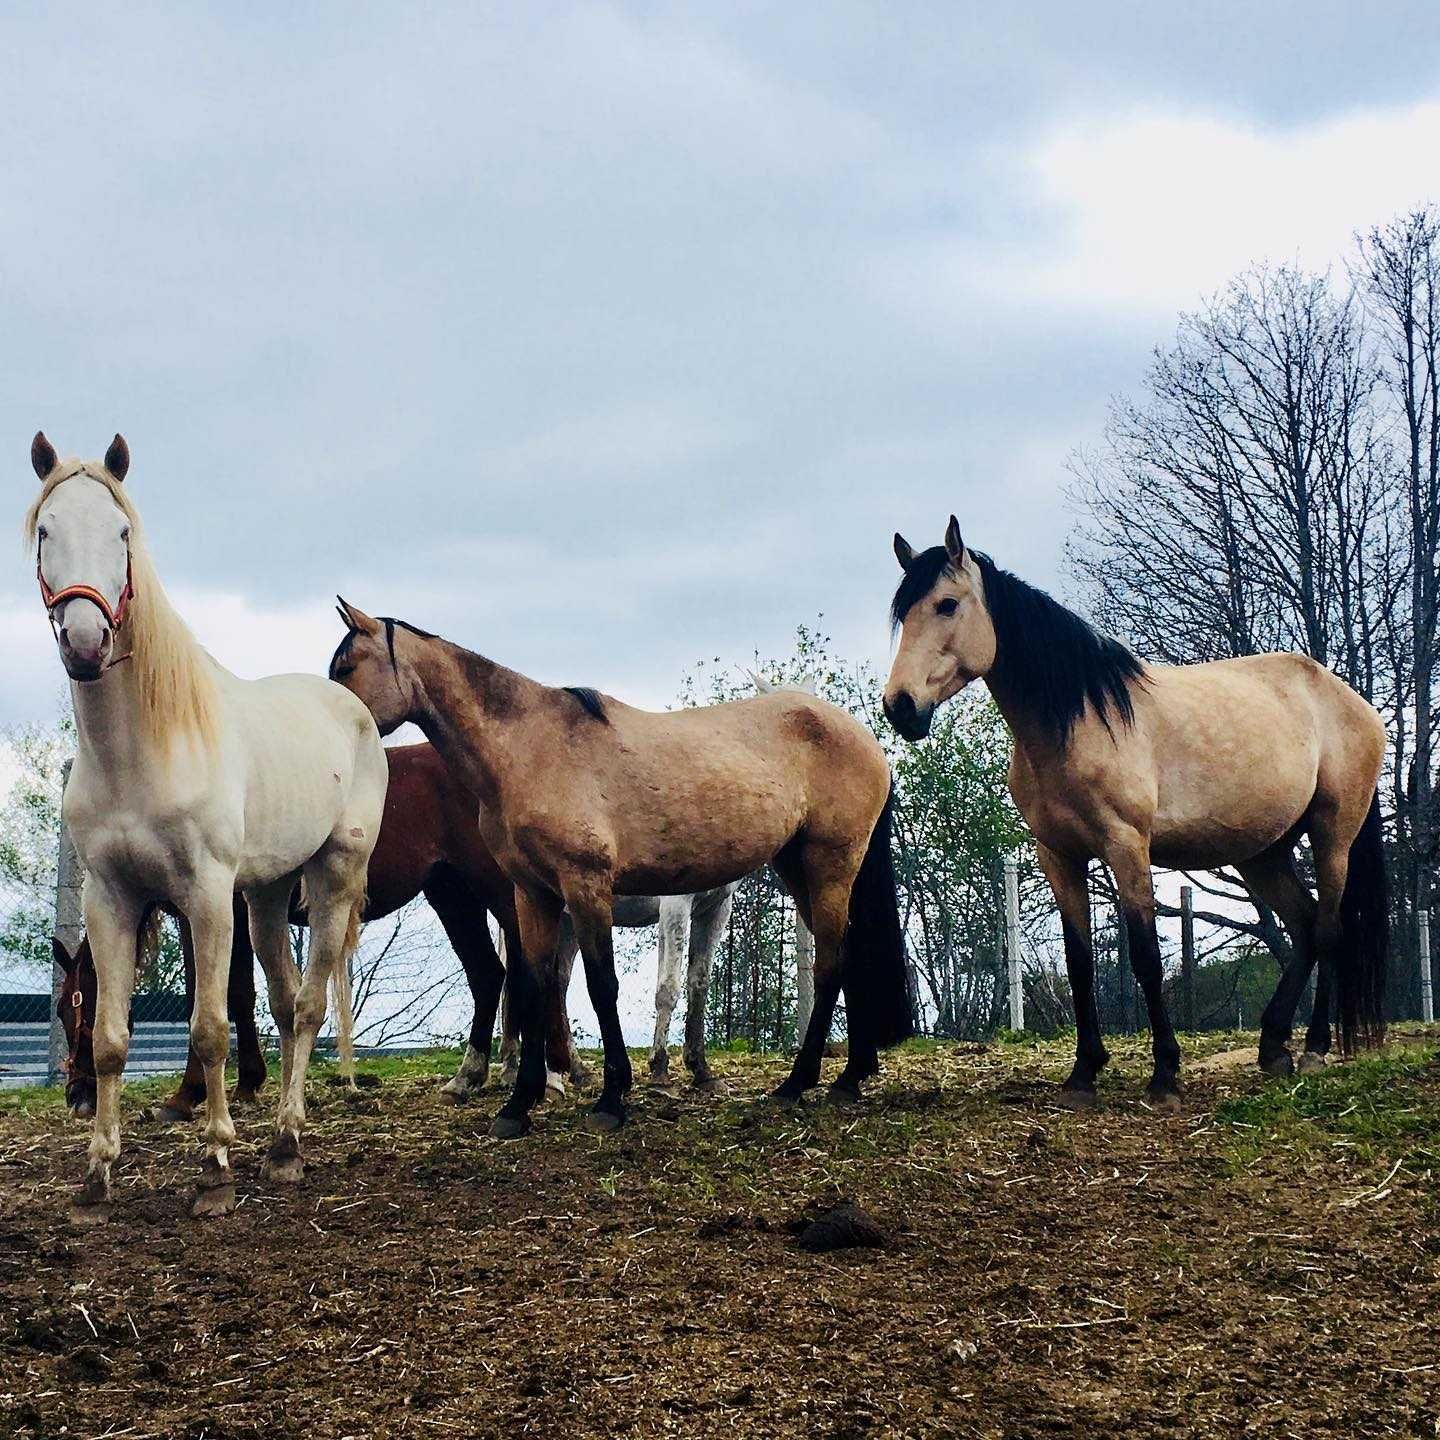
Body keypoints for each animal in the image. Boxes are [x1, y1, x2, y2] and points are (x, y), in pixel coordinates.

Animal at [28, 429, 388, 1215]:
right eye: (44, 531)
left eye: (123, 533)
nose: (85, 642)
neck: (141, 751)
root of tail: (353, 711)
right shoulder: (111, 901)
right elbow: (111, 1038)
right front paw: (97, 1174)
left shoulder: (206, 897)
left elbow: (210, 1027)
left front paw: (215, 1167)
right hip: (267, 892)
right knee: (286, 1004)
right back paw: (284, 1133)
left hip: (332, 874)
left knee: (309, 1006)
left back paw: (284, 1145)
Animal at [881, 521, 1388, 1111]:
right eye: (903, 614)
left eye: (947, 604)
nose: (900, 706)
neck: (1078, 720)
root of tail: (1351, 700)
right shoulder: (1059, 856)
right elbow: (1079, 963)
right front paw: (1083, 1073)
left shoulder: (1126, 846)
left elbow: (1145, 956)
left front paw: (1165, 1073)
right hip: (1263, 853)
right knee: (1304, 925)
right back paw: (1273, 1046)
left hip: (1332, 836)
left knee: (1327, 928)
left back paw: (1313, 1048)